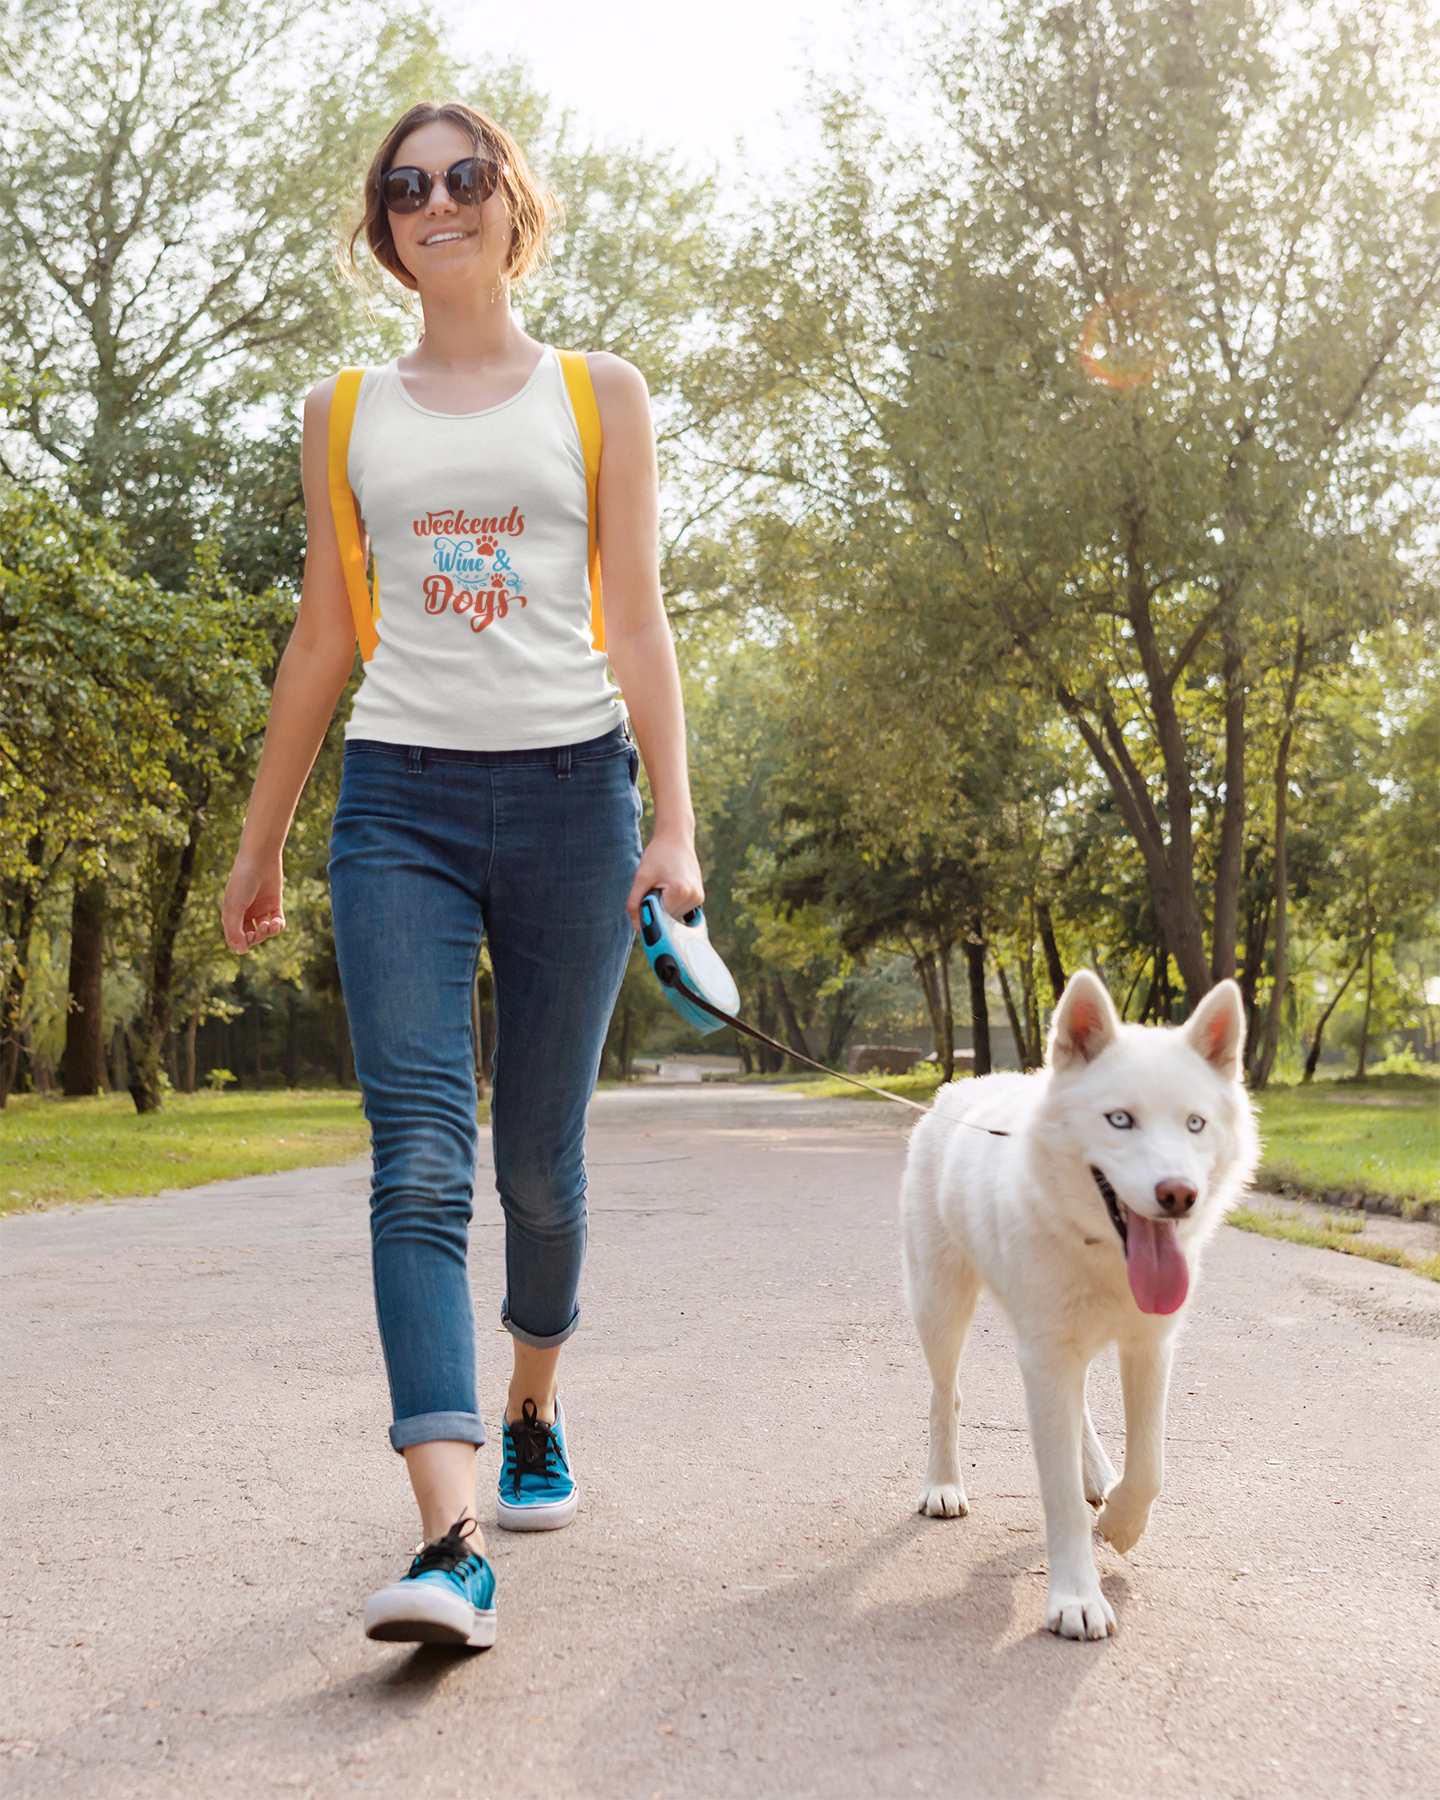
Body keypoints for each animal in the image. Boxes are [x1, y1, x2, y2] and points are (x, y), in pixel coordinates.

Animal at [900, 979, 1260, 1641]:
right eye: (1120, 1119)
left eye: (1195, 1123)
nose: (1179, 1195)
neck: (1103, 1252)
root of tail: (960, 1086)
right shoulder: (1045, 1359)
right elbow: (1060, 1494)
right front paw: (1075, 1598)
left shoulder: (1149, 1347)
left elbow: (1150, 1466)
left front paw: (1121, 1522)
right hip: (940, 1308)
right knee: (945, 1396)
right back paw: (942, 1485)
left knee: (1079, 1408)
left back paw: (1096, 1474)